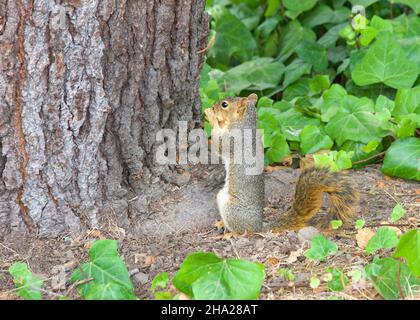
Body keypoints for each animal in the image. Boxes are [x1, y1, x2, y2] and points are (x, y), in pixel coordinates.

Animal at [203, 92, 358, 232]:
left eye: (224, 105)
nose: (213, 106)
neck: (244, 123)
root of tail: (259, 227)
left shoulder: (233, 141)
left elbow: (219, 145)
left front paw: (211, 117)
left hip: (231, 209)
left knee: (242, 231)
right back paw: (221, 224)